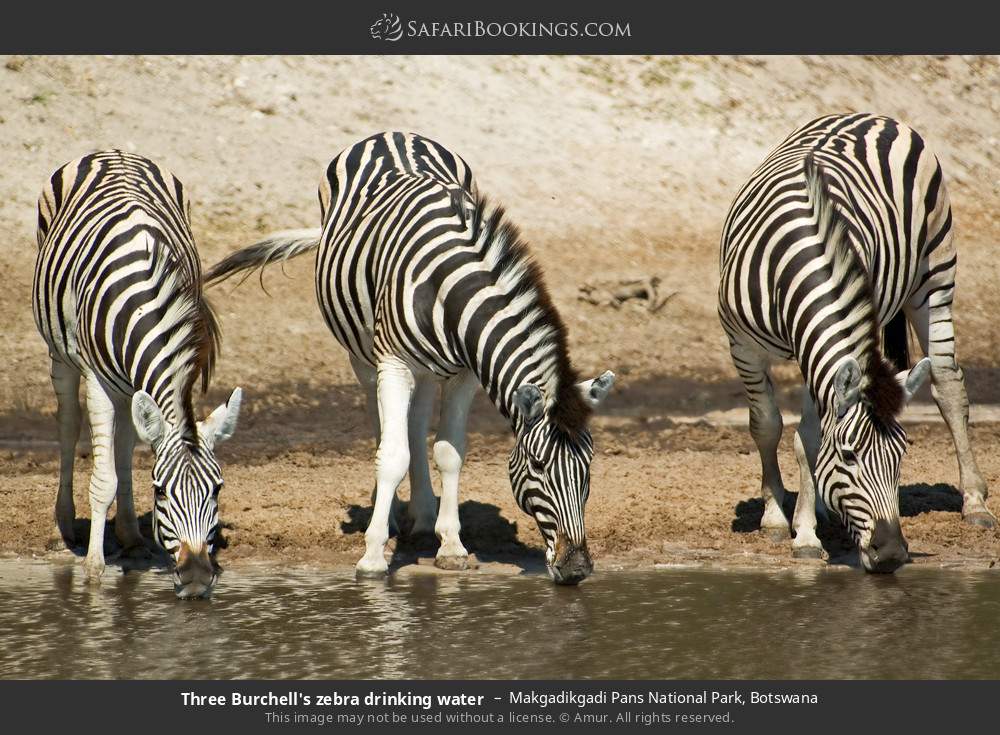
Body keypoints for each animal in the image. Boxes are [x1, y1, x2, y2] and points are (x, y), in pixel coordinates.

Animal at [33, 150, 242, 598]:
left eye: (217, 489)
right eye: (160, 492)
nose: (196, 580)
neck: (144, 302)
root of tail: (113, 152)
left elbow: (125, 456)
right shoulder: (96, 380)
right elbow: (103, 479)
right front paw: (94, 570)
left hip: (128, 384)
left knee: (127, 442)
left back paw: (129, 534)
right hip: (60, 353)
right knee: (68, 423)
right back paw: (64, 526)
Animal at [206, 132, 614, 584]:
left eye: (589, 466)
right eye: (539, 466)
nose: (576, 569)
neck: (449, 290)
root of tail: (392, 133)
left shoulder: (466, 374)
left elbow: (449, 451)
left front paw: (451, 544)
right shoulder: (395, 364)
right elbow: (393, 455)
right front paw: (372, 555)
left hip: (428, 367)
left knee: (416, 423)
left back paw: (423, 515)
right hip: (363, 353)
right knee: (383, 422)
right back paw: (389, 517)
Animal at [719, 113, 993, 573]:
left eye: (902, 456)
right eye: (848, 457)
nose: (892, 554)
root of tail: (877, 117)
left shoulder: (815, 351)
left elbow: (806, 438)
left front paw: (804, 532)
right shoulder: (743, 345)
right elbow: (769, 426)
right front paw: (778, 519)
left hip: (936, 276)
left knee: (948, 385)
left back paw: (974, 502)